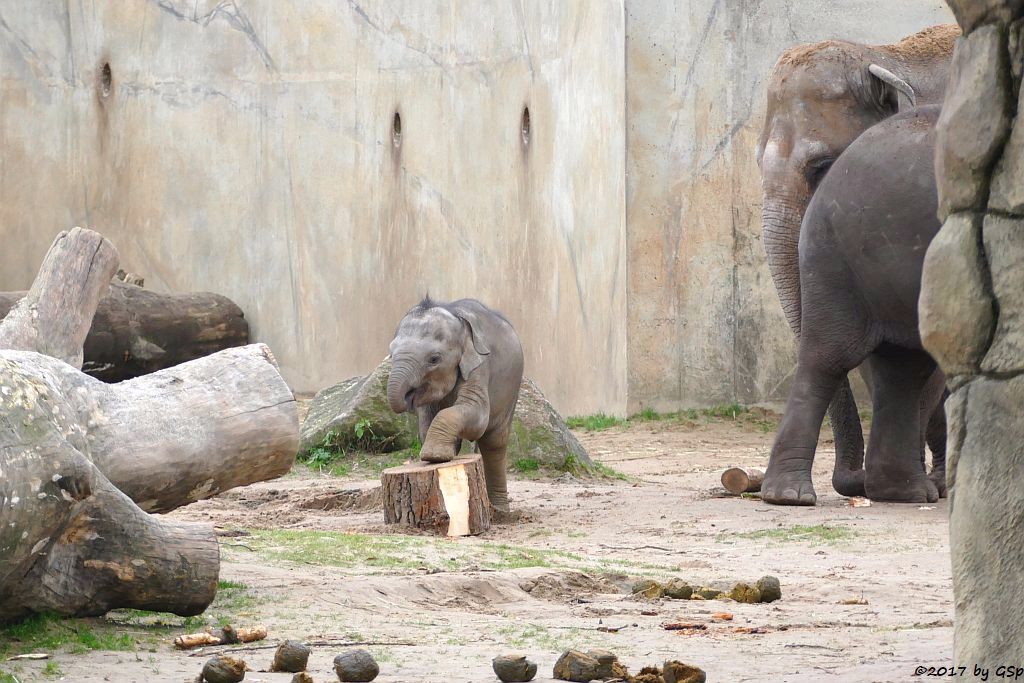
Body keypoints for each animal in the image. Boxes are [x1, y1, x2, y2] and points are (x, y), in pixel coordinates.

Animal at [385, 296, 524, 509]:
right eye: (391, 354)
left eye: (434, 359)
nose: (407, 396)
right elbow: (426, 423)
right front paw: (440, 456)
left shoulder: (479, 365)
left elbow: (477, 415)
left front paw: (433, 455)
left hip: (511, 389)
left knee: (494, 442)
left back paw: (500, 510)